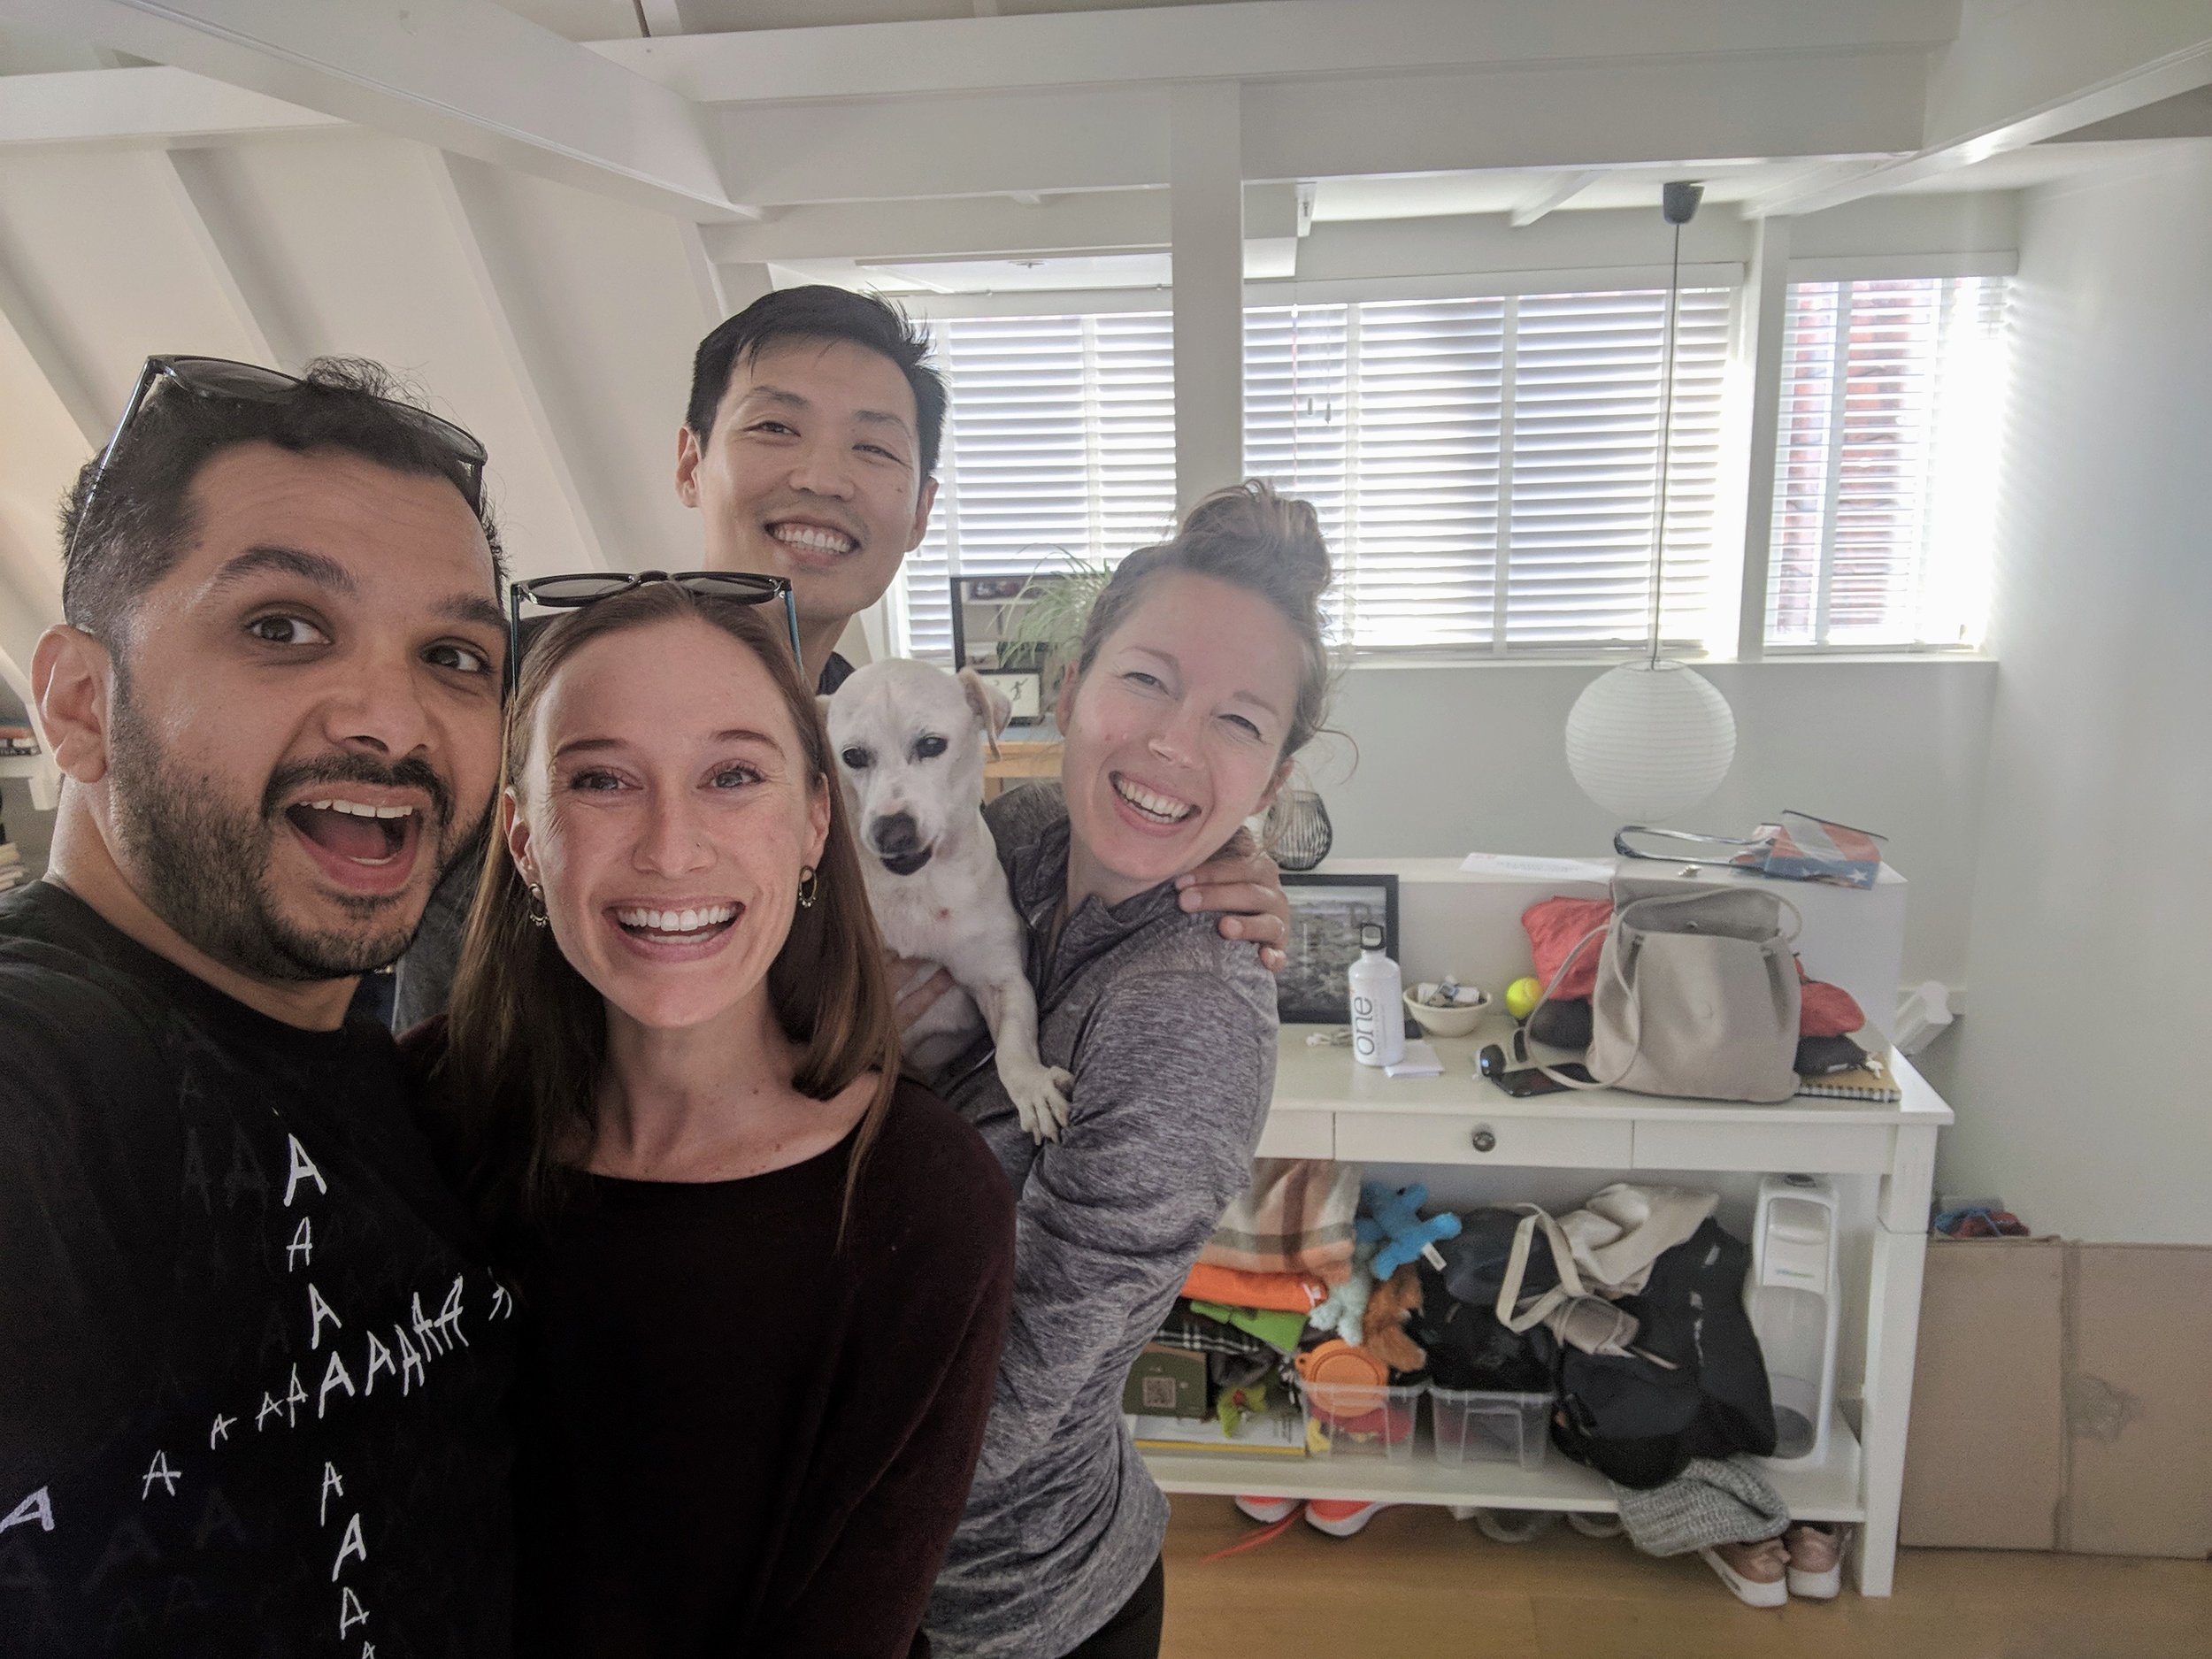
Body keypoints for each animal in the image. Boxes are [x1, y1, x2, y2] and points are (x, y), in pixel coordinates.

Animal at [827, 659, 1075, 1141]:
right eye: (852, 756)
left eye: (931, 745)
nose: (892, 831)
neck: (915, 891)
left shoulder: (1002, 982)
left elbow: (1012, 1051)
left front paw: (1033, 1089)